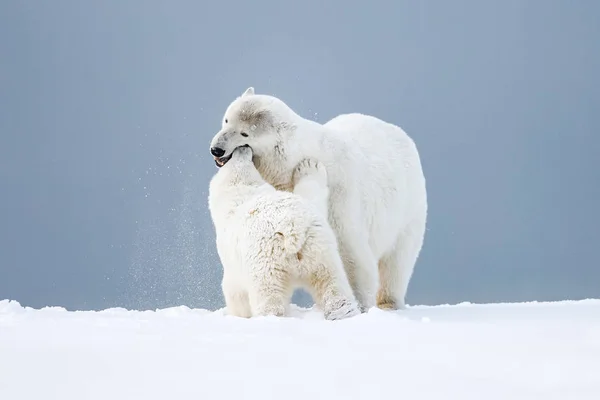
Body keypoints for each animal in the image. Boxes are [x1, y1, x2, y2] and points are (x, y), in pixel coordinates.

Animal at [209, 145, 360, 320]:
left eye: (233, 157)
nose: (243, 147)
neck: (244, 192)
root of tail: (292, 229)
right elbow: (313, 198)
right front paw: (310, 166)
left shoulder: (232, 258)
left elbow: (234, 290)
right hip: (319, 248)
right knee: (332, 284)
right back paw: (343, 312)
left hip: (266, 261)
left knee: (269, 296)